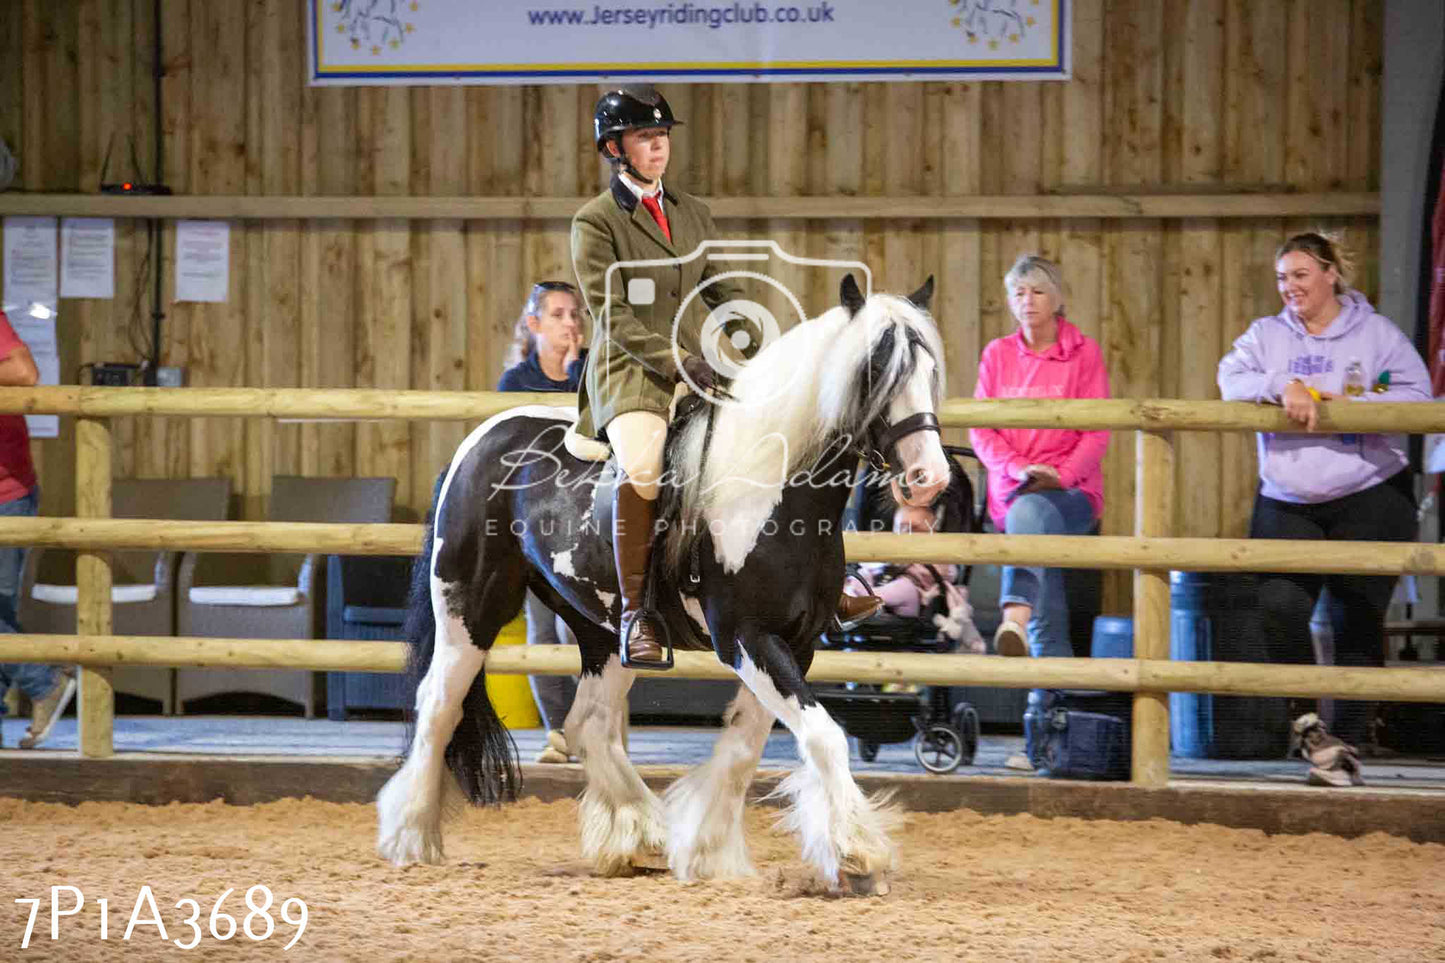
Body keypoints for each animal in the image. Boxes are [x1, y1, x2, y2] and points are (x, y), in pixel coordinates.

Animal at [378, 271, 953, 890]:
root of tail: (480, 439)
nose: (929, 477)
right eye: (875, 370)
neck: (773, 489)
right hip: (468, 610)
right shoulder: (747, 638)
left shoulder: (795, 643)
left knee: (590, 724)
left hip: (606, 631)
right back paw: (411, 835)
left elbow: (745, 747)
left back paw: (637, 834)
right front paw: (857, 852)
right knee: (440, 704)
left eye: (930, 370)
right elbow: (822, 736)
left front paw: (705, 848)